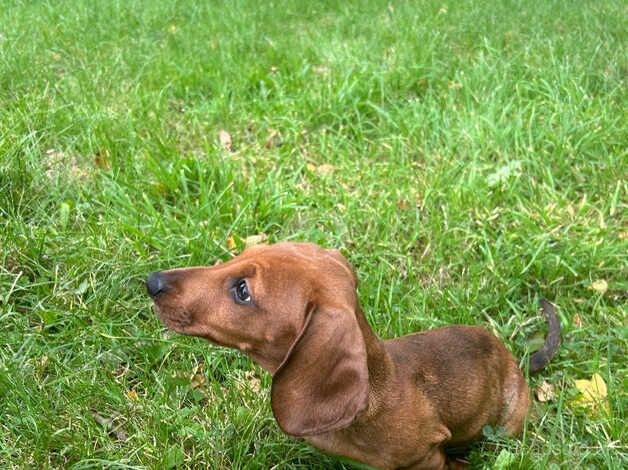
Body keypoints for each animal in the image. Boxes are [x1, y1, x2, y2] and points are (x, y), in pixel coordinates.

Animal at [146, 244, 560, 468]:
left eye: (243, 291)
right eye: (239, 256)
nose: (152, 281)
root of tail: (516, 363)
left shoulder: (426, 456)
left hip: (506, 426)